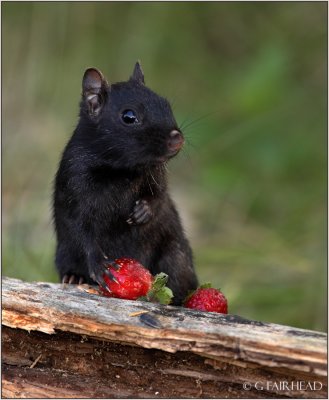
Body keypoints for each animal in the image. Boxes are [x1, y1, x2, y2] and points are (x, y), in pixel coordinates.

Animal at [53, 62, 197, 304]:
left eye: (166, 104)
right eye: (128, 116)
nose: (177, 138)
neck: (121, 171)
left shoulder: (157, 177)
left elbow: (159, 196)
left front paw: (143, 211)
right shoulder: (74, 188)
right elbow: (82, 233)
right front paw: (101, 266)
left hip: (175, 257)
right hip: (64, 253)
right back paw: (74, 277)